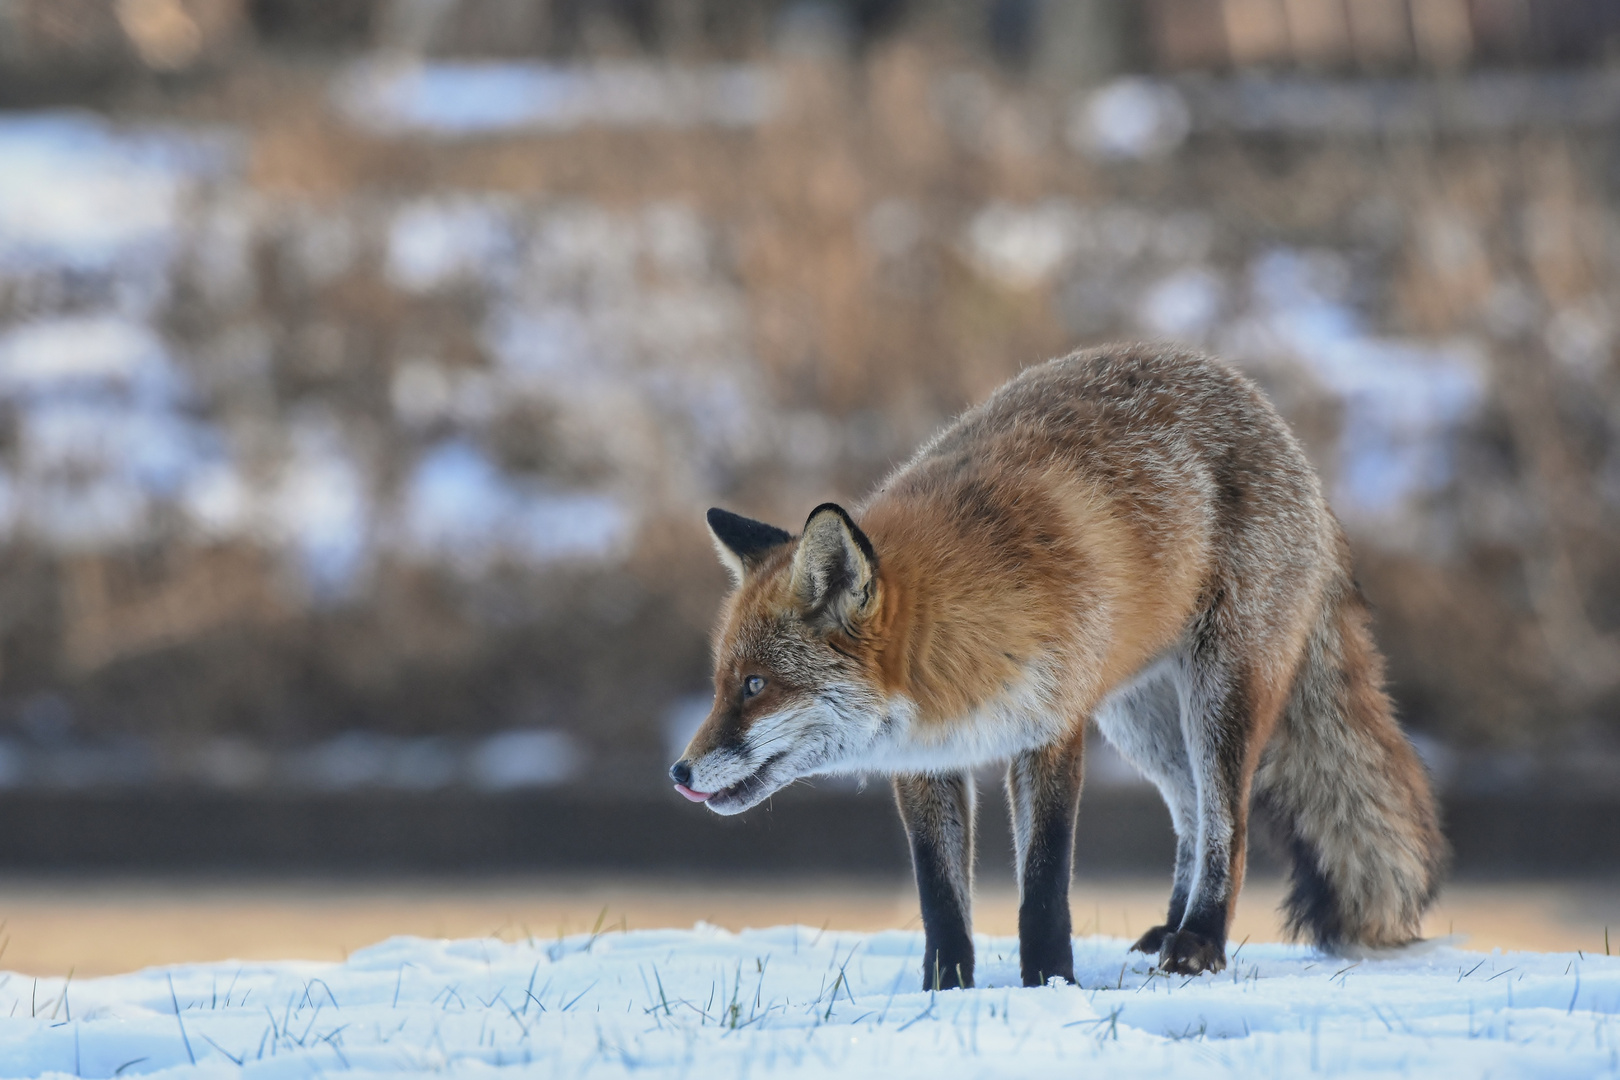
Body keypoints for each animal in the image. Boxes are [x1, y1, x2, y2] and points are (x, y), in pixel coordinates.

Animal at [667, 344, 1445, 990]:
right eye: (721, 684)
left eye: (755, 686)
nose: (678, 772)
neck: (955, 653)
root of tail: (1257, 402)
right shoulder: (924, 764)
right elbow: (939, 895)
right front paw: (945, 989)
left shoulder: (1052, 729)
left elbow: (1043, 886)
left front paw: (1049, 983)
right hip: (1142, 723)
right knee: (1190, 815)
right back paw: (1170, 925)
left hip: (1215, 700)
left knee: (1230, 825)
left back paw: (1199, 940)